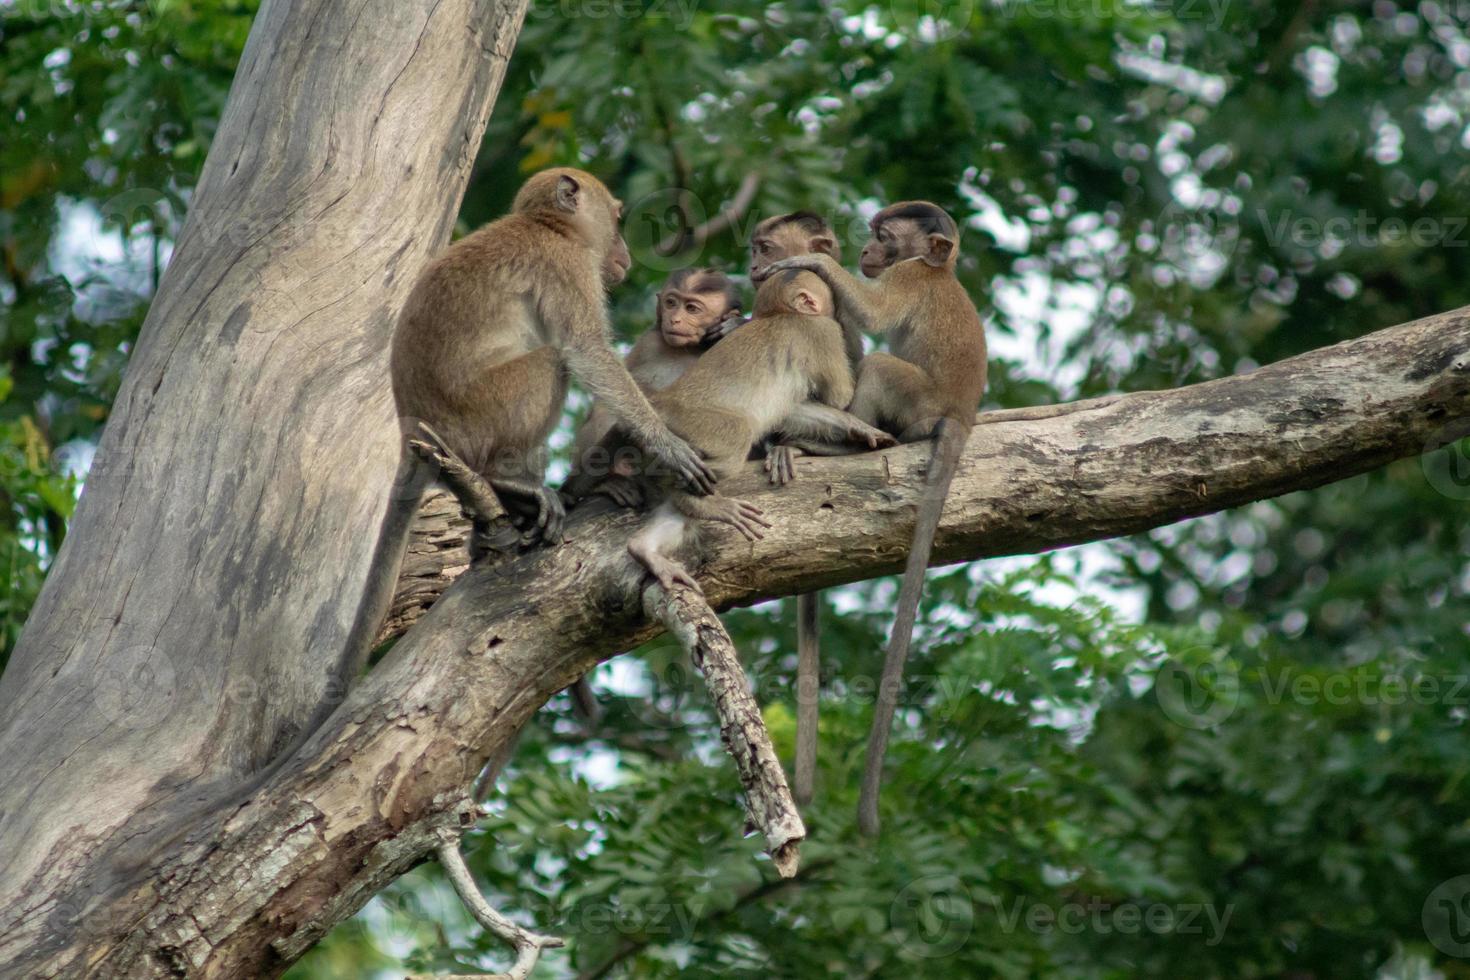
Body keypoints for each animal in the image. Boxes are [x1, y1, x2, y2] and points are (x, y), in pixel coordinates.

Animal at [758, 199, 987, 834]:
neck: (938, 269)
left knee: (882, 365)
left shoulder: (908, 278)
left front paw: (812, 265)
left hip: (917, 401)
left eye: (885, 237)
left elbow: (873, 312)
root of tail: (960, 415)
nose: (864, 250)